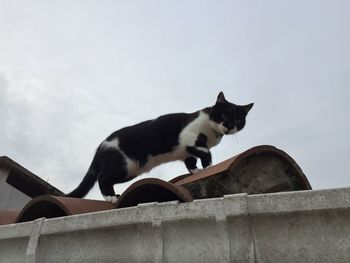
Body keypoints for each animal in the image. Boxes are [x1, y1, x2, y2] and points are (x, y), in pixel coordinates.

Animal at [67, 93, 253, 204]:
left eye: (237, 119)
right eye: (223, 115)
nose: (228, 126)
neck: (212, 133)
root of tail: (101, 145)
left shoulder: (187, 152)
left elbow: (190, 161)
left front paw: (197, 171)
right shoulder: (189, 136)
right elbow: (205, 152)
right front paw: (208, 166)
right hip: (127, 166)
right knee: (103, 178)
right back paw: (111, 197)